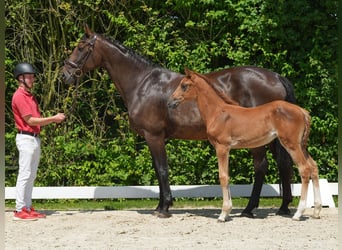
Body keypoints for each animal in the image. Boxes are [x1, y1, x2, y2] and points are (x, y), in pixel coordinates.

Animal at [62, 24, 296, 218]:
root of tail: (276, 77)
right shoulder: (154, 138)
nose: (65, 75)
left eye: (81, 47)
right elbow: (158, 171)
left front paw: (164, 208)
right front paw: (160, 205)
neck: (142, 83)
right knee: (283, 164)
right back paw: (283, 207)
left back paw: (249, 209)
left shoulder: (154, 136)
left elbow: (162, 169)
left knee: (261, 166)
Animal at [170, 69, 322, 222]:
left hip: (292, 145)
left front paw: (223, 214)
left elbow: (223, 177)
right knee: (314, 167)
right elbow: (227, 176)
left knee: (304, 169)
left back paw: (298, 213)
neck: (218, 112)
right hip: (302, 145)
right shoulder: (226, 149)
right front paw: (228, 211)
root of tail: (303, 112)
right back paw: (316, 211)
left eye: (184, 85)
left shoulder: (222, 147)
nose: (171, 102)